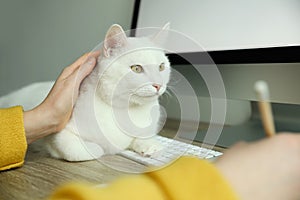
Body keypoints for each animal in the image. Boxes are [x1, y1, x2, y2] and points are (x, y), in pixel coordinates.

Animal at [0, 23, 171, 161]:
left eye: (161, 67)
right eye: (136, 68)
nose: (158, 85)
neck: (124, 109)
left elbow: (143, 137)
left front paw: (150, 145)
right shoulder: (60, 136)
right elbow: (82, 150)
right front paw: (102, 149)